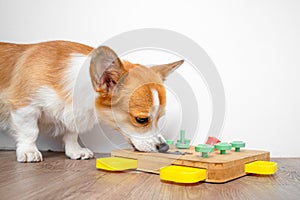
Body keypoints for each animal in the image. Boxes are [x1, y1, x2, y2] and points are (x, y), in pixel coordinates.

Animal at [0, 40, 183, 162]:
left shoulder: (73, 114)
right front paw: (29, 151)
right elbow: (30, 131)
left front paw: (75, 151)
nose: (165, 147)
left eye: (160, 118)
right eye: (141, 119)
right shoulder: (24, 106)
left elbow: (72, 134)